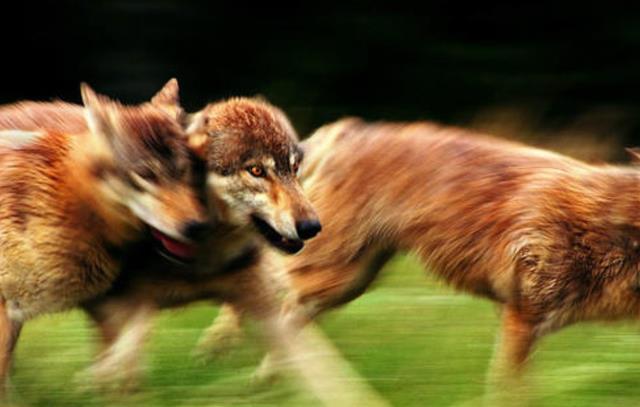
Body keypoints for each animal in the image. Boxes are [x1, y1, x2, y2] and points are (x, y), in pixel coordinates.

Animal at [202, 118, 640, 396]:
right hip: (331, 274)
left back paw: (264, 376)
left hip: (345, 283)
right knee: (263, 280)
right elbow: (510, 391)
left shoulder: (525, 323)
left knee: (284, 312)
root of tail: (348, 128)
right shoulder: (523, 318)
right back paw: (221, 346)